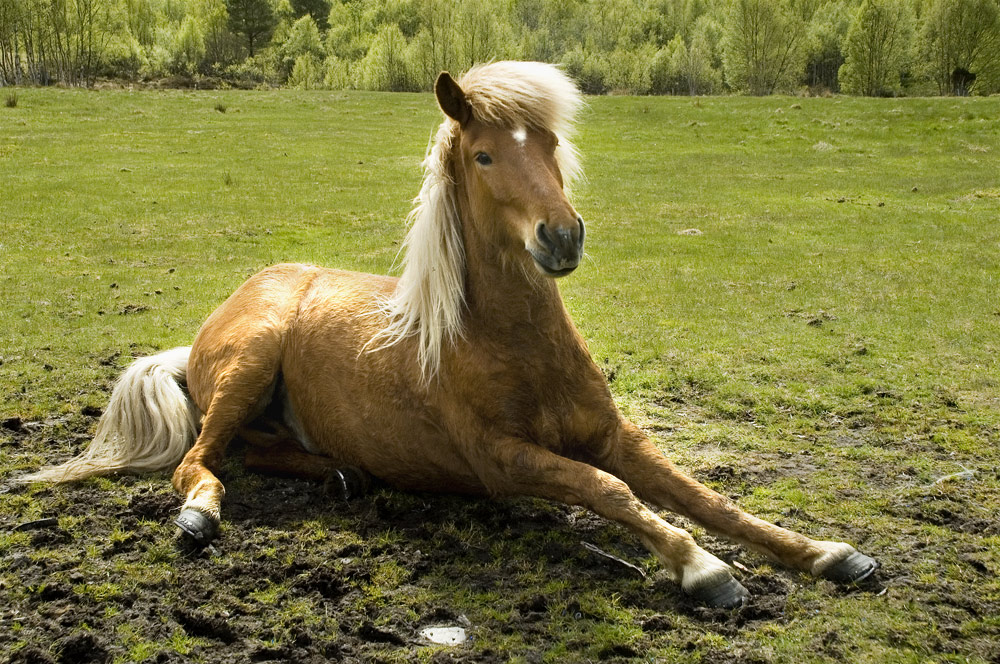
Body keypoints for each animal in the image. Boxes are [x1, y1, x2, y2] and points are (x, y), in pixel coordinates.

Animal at [19, 61, 872, 608]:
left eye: (551, 146)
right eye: (486, 155)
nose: (562, 238)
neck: (515, 345)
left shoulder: (611, 434)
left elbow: (700, 493)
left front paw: (828, 554)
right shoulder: (501, 459)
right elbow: (611, 491)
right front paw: (702, 569)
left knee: (252, 449)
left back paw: (342, 474)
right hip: (251, 359)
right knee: (200, 458)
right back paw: (202, 514)